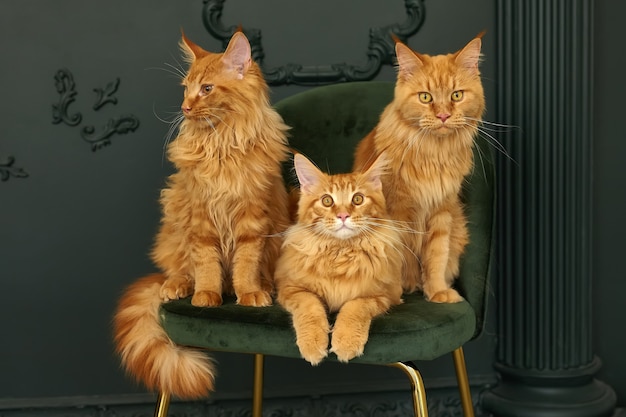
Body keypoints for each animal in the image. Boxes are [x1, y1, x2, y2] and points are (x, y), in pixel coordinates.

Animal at [113, 30, 288, 398]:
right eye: (186, 88)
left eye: (207, 89)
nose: (185, 107)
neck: (222, 143)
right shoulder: (201, 217)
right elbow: (206, 264)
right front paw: (207, 296)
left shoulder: (253, 217)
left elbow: (247, 263)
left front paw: (249, 292)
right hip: (174, 219)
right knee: (179, 269)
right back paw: (176, 286)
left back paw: (263, 286)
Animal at [276, 153, 402, 364]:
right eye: (327, 201)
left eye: (358, 199)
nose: (343, 215)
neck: (340, 252)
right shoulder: (291, 288)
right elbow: (310, 307)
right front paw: (313, 344)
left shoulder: (381, 294)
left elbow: (354, 308)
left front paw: (346, 342)